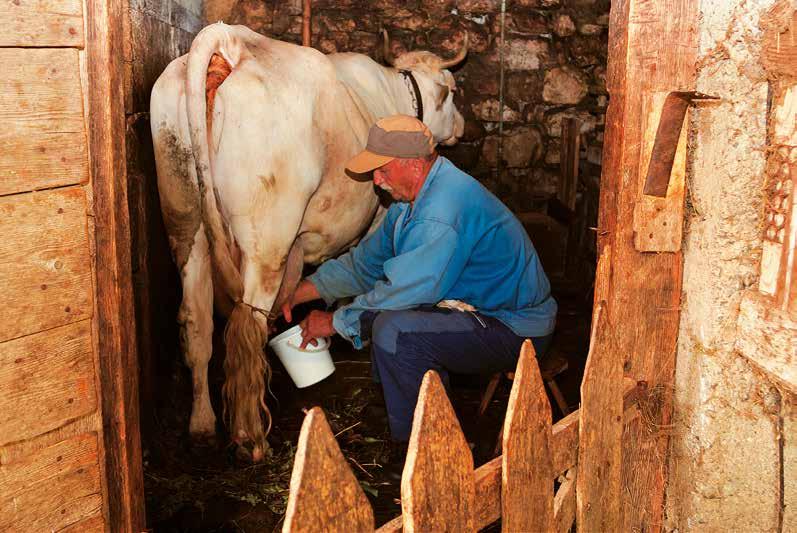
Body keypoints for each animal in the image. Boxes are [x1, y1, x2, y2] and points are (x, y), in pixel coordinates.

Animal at [149, 22, 466, 460]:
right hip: (266, 240)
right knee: (247, 325)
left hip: (185, 220)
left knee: (197, 322)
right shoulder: (378, 216)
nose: (463, 127)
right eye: (452, 90)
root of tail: (228, 40)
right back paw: (251, 439)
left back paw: (202, 425)